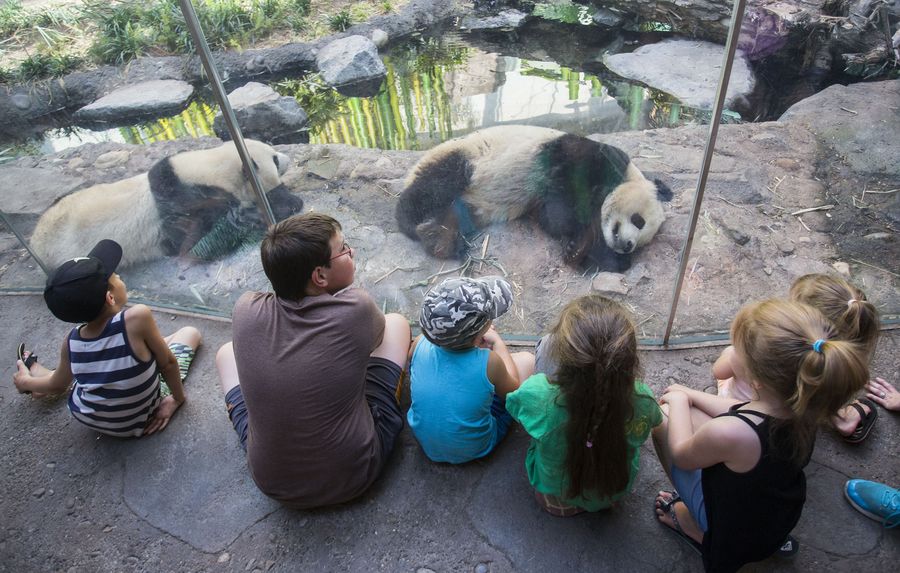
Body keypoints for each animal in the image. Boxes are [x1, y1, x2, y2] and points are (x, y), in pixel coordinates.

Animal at [30, 139, 303, 268]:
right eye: (274, 158)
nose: (287, 158)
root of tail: (34, 244)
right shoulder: (182, 203)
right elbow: (202, 241)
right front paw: (284, 202)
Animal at [395, 125, 673, 272]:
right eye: (638, 220)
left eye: (644, 241)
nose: (628, 245)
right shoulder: (579, 157)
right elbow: (560, 210)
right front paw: (577, 241)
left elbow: (550, 216)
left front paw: (584, 251)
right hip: (463, 158)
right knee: (435, 185)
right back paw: (412, 222)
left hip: (469, 205)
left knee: (454, 213)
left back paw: (440, 240)